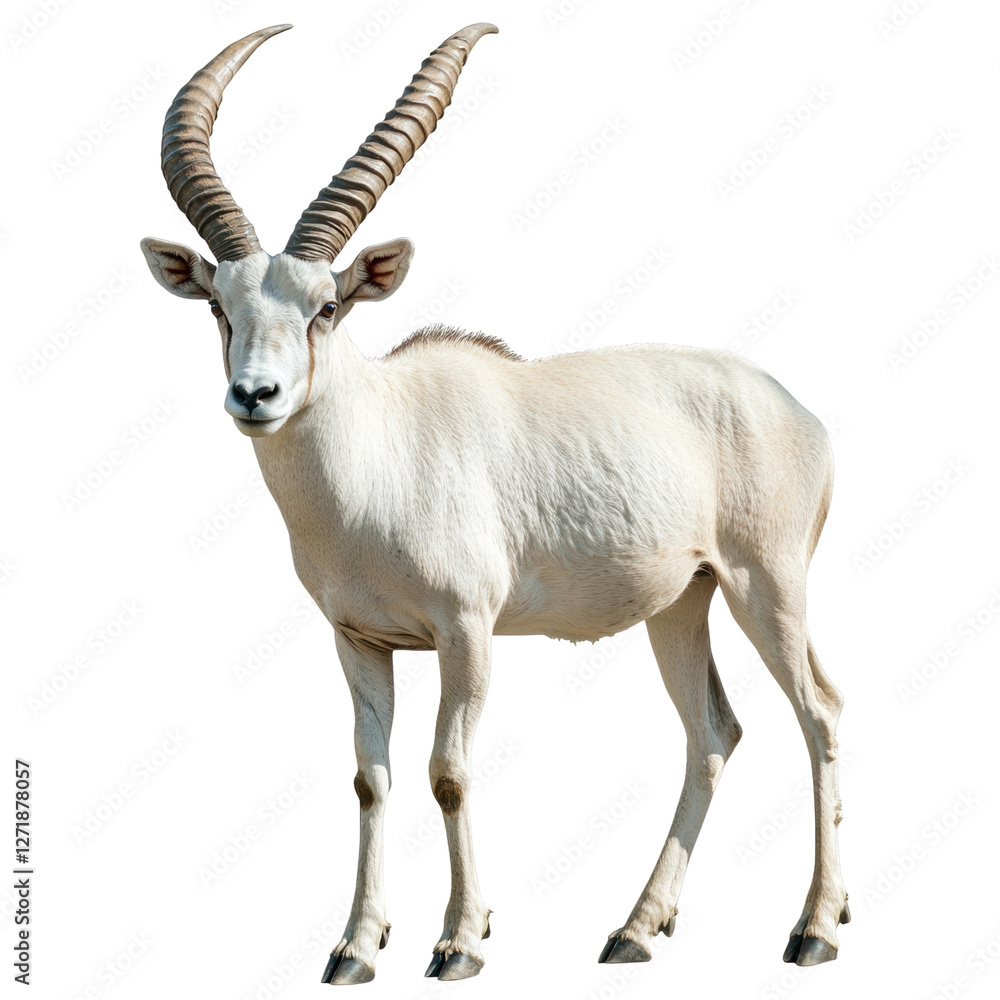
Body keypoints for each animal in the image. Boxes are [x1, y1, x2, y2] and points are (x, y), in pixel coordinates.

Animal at [140, 22, 850, 985]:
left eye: (327, 306)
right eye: (219, 303)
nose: (256, 396)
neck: (383, 448)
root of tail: (794, 407)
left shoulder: (466, 631)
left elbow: (447, 770)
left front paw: (459, 942)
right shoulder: (358, 640)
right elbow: (370, 776)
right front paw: (355, 946)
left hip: (766, 586)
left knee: (818, 713)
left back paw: (815, 928)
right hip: (682, 604)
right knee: (713, 732)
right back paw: (634, 931)